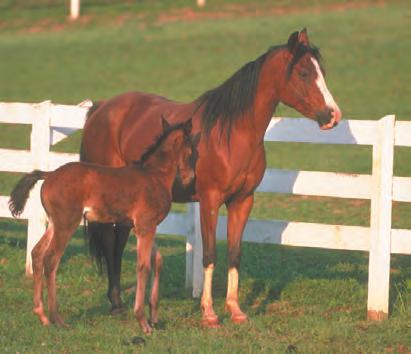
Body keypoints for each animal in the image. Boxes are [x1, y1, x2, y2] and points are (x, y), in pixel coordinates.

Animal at [80, 29, 342, 328]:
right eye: (303, 72)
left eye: (321, 71)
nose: (333, 116)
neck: (232, 134)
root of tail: (102, 109)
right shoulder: (210, 201)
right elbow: (209, 254)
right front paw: (209, 313)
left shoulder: (242, 201)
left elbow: (234, 254)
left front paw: (236, 309)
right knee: (110, 242)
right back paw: (115, 304)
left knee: (118, 242)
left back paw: (118, 302)